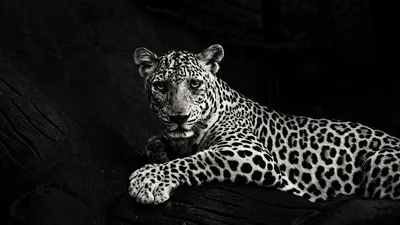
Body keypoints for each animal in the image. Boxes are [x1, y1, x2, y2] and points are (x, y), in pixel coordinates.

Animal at [128, 43, 400, 204]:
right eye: (161, 86)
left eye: (194, 84)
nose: (179, 117)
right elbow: (155, 142)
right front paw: (159, 156)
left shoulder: (250, 151)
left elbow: (201, 158)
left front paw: (148, 179)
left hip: (379, 162)